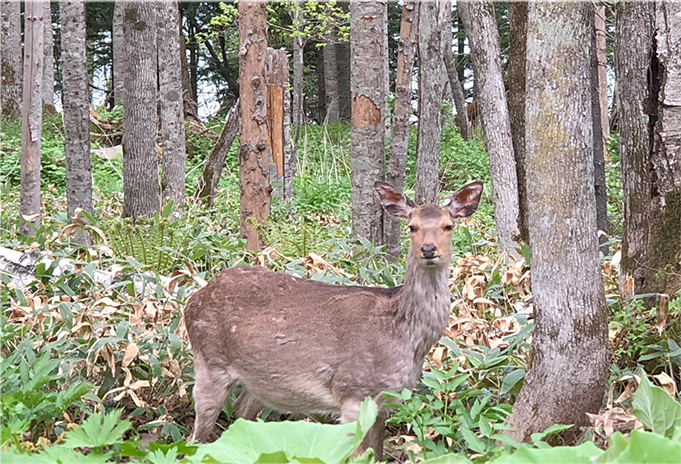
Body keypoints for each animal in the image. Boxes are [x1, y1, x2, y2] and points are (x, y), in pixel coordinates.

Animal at [183, 179, 486, 458]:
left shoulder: (383, 403)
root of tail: (192, 300)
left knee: (242, 416)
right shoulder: (352, 391)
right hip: (209, 363)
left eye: (448, 225)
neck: (405, 337)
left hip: (256, 385)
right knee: (193, 440)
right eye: (412, 226)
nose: (429, 249)